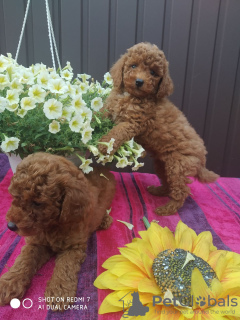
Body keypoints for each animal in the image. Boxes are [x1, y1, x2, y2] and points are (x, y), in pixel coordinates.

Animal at [0, 152, 115, 310]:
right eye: (15, 196)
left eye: (37, 203)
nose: (10, 226)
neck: (52, 224)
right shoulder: (36, 242)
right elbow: (24, 259)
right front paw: (9, 283)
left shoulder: (73, 247)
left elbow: (65, 266)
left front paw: (59, 290)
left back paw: (105, 220)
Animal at [98, 42, 218, 215]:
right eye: (133, 65)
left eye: (153, 73)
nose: (139, 81)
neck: (130, 96)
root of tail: (203, 159)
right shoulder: (109, 109)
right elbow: (98, 114)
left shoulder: (133, 123)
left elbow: (117, 132)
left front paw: (104, 144)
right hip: (163, 165)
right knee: (168, 183)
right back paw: (158, 190)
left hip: (178, 167)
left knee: (181, 191)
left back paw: (166, 209)